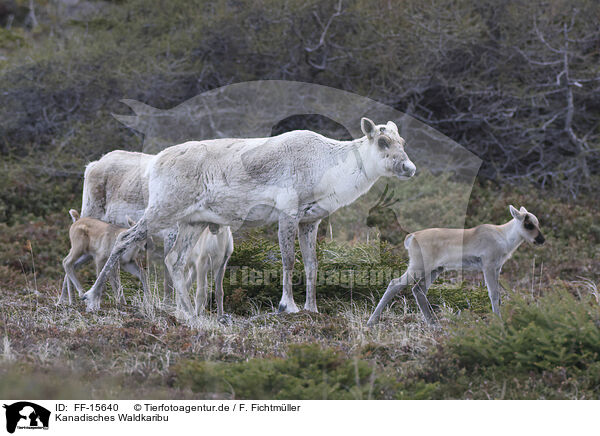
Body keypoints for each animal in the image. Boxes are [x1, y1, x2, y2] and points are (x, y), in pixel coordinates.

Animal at [368, 206, 548, 326]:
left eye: (537, 223)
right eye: (528, 224)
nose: (541, 240)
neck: (504, 237)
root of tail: (411, 237)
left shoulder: (498, 268)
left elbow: (499, 296)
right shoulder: (488, 266)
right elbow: (493, 294)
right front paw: (499, 321)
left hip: (435, 270)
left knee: (418, 290)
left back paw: (433, 323)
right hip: (418, 267)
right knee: (395, 284)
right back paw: (372, 321)